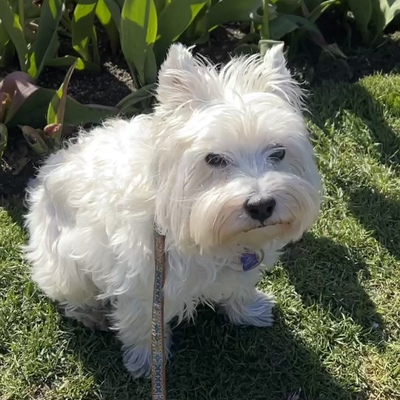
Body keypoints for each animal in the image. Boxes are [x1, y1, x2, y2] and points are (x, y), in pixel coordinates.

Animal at [23, 43, 321, 377]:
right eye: (214, 158)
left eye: (278, 152)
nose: (261, 206)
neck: (190, 222)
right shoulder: (143, 283)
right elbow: (143, 324)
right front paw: (146, 361)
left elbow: (240, 288)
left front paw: (251, 310)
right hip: (66, 264)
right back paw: (93, 314)